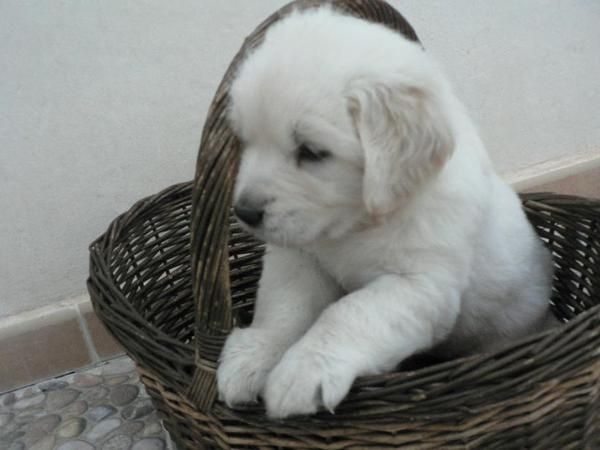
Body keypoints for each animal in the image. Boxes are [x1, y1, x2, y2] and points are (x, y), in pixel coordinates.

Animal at [216, 7, 552, 420]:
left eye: (311, 151)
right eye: (246, 141)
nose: (244, 211)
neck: (357, 225)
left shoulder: (420, 286)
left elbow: (350, 312)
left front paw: (304, 370)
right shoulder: (298, 258)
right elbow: (283, 307)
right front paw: (253, 356)